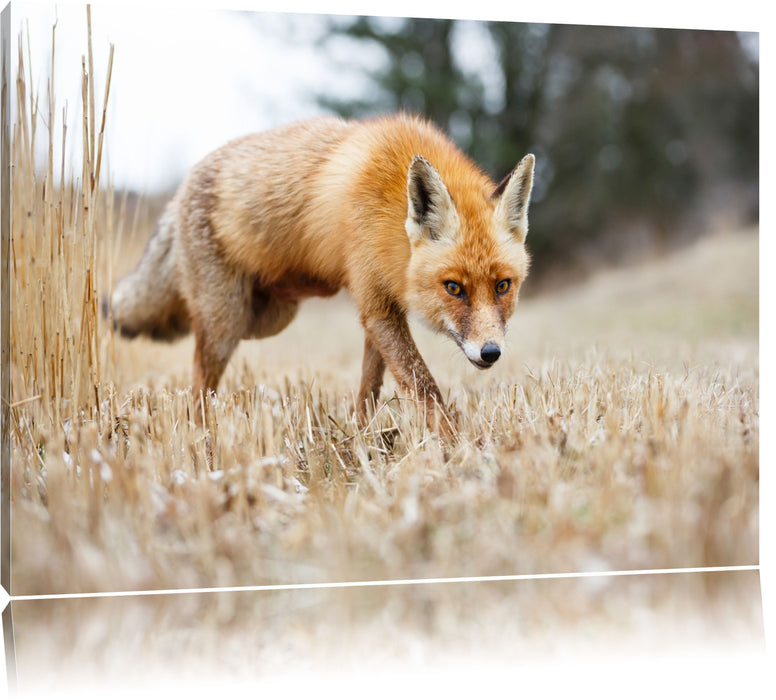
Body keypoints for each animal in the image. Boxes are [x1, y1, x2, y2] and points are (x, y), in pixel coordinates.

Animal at [106, 113, 535, 436]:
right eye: (454, 288)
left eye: (502, 286)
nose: (491, 352)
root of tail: (179, 190)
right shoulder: (376, 304)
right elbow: (424, 387)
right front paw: (458, 448)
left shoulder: (379, 306)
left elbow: (369, 388)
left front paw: (361, 437)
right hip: (227, 324)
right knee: (198, 380)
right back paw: (200, 436)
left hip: (266, 317)